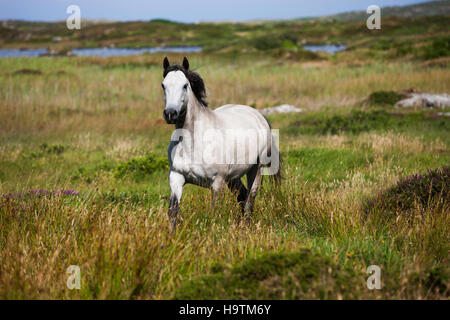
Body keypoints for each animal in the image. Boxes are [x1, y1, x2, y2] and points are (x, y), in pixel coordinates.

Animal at [162, 56, 280, 229]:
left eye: (185, 85)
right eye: (163, 85)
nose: (170, 114)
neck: (194, 144)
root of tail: (259, 116)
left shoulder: (217, 182)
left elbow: (215, 212)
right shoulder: (176, 177)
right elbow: (173, 211)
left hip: (255, 169)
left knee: (250, 198)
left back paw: (246, 225)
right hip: (233, 177)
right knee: (242, 196)